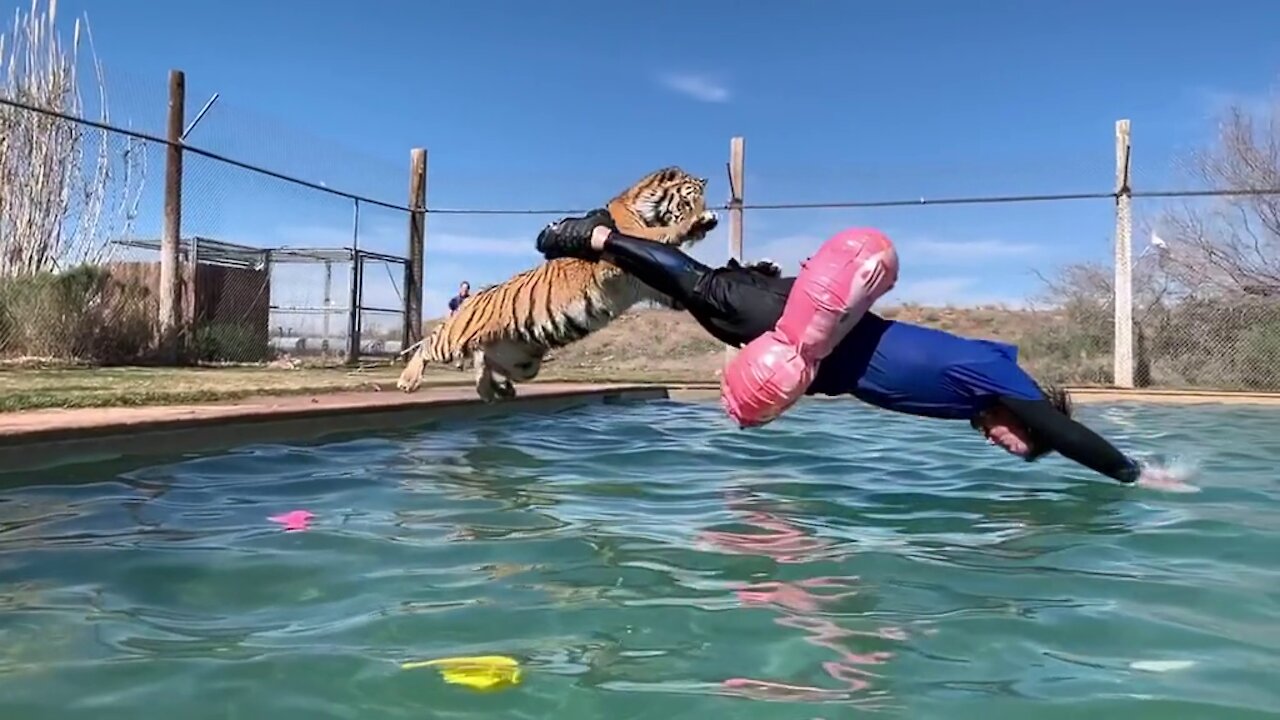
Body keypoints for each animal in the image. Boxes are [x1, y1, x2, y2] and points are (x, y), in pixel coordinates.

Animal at [396, 165, 721, 399]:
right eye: (688, 200)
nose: (705, 217)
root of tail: (472, 297)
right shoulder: (625, 249)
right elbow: (658, 236)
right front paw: (695, 222)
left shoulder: (650, 284)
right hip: (454, 338)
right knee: (427, 344)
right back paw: (407, 381)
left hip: (522, 363)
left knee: (482, 367)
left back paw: (497, 392)